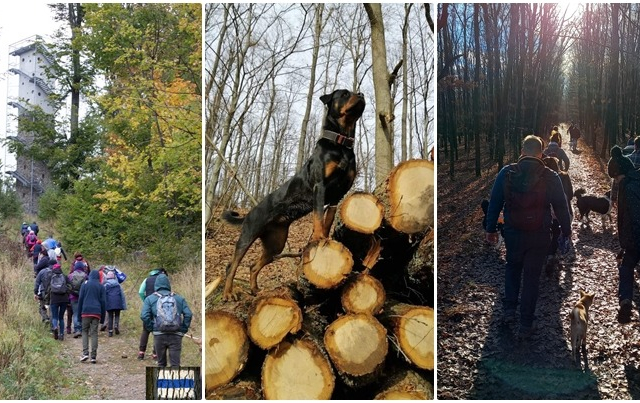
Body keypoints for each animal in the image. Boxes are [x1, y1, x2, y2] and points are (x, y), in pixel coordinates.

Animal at [222, 90, 368, 302]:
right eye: (344, 94)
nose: (362, 94)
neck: (340, 144)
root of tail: (248, 213)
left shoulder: (337, 196)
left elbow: (328, 219)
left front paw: (325, 238)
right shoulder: (319, 186)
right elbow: (318, 216)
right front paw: (318, 237)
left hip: (276, 244)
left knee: (253, 265)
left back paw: (256, 291)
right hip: (248, 235)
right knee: (231, 266)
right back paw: (228, 293)